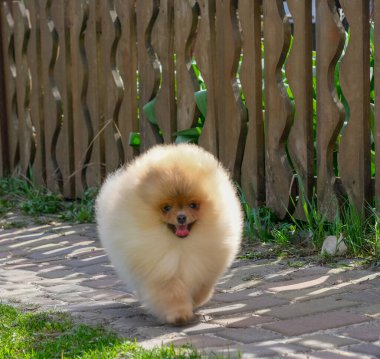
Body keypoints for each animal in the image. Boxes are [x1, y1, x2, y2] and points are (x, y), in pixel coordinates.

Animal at [96, 144, 242, 326]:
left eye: (193, 205)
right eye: (166, 208)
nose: (181, 217)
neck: (181, 246)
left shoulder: (206, 268)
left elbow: (203, 288)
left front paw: (196, 301)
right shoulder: (162, 272)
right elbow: (172, 294)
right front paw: (179, 315)